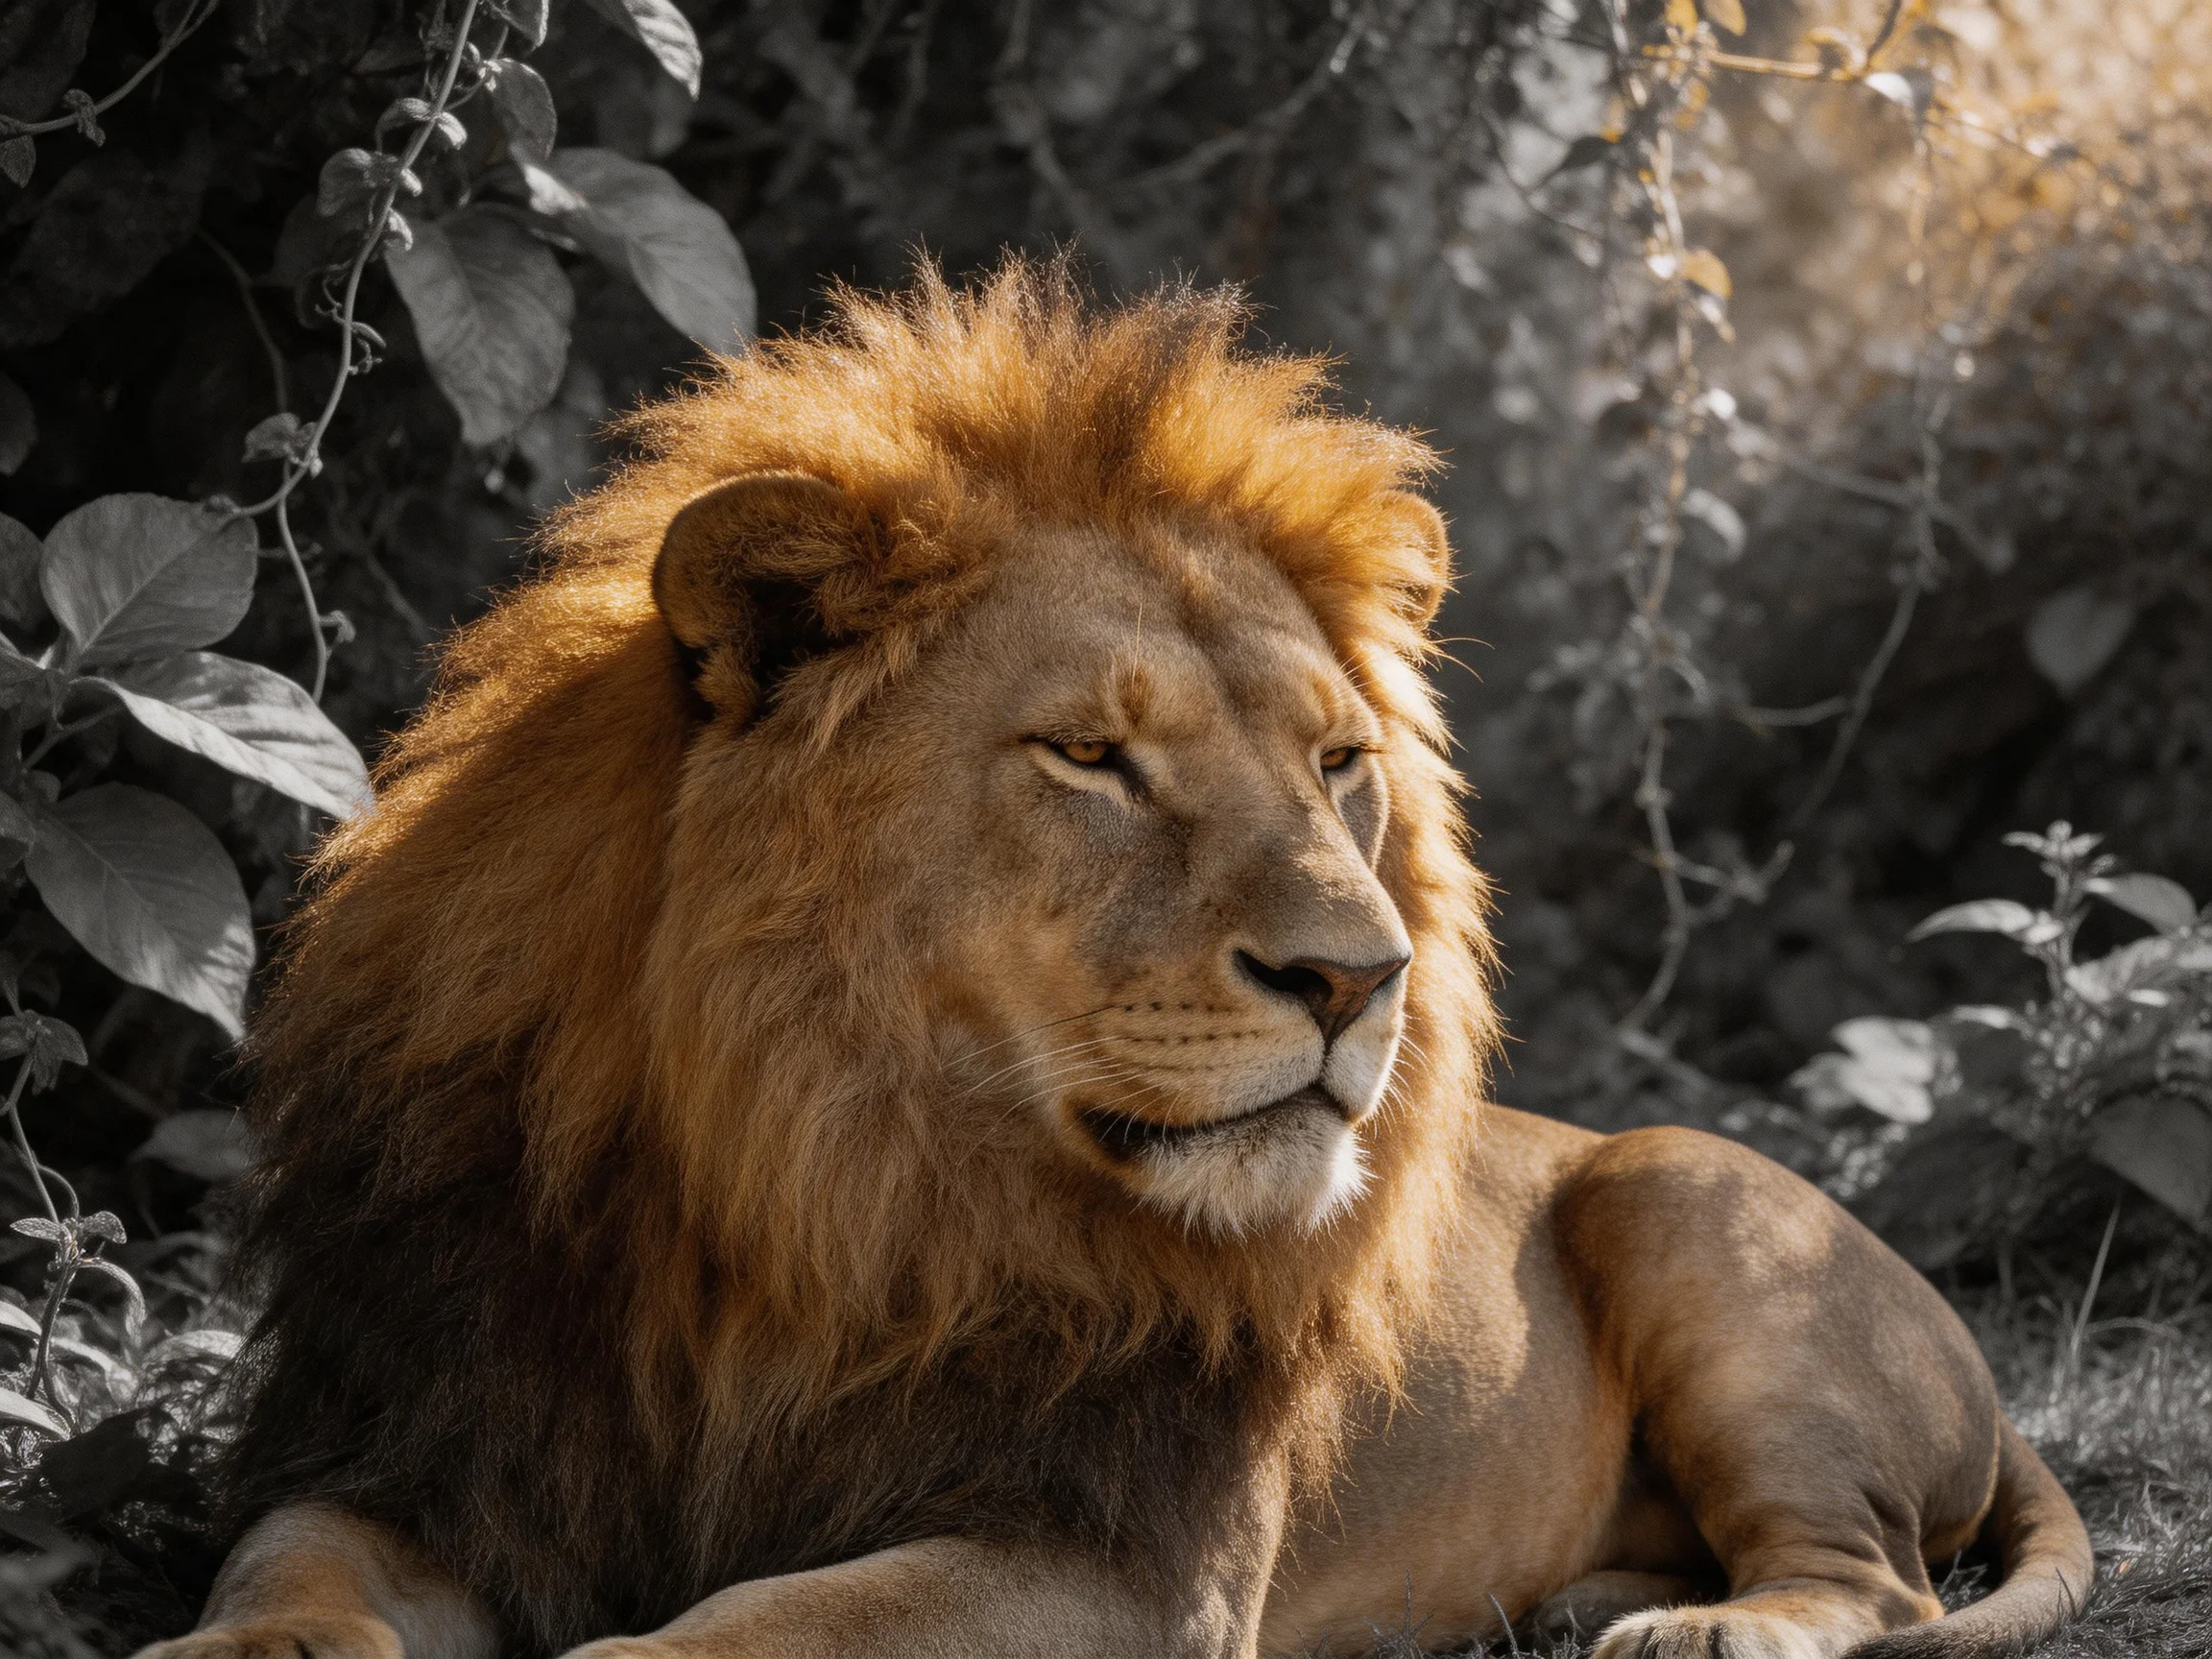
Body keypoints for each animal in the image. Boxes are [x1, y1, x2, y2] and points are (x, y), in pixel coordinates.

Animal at [141, 259, 2089, 1659]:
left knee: (1880, 1578)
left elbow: (756, 1629)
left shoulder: (1116, 1560)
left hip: (1685, 1199)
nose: (1360, 978)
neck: (807, 1179)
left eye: (1337, 763)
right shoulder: (430, 1441)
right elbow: (287, 1565)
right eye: (1090, 756)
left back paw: (1700, 1627)